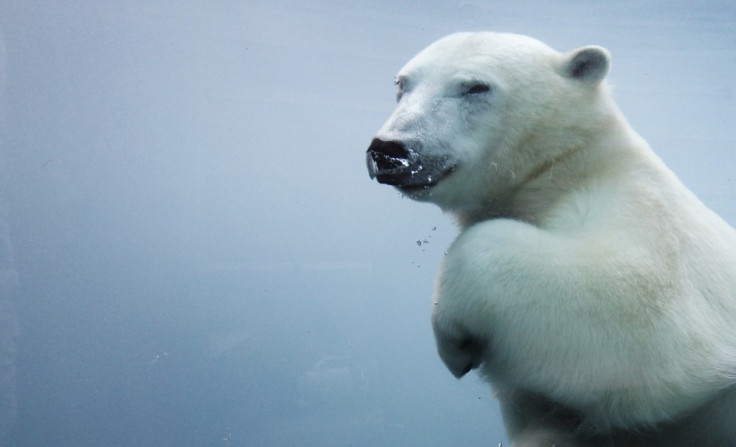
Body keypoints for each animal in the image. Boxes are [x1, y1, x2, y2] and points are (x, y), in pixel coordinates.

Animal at [366, 33, 736, 446]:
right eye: (402, 84)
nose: (390, 149)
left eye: (476, 87)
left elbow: (638, 312)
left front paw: (454, 343)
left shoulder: (647, 216)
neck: (568, 167)